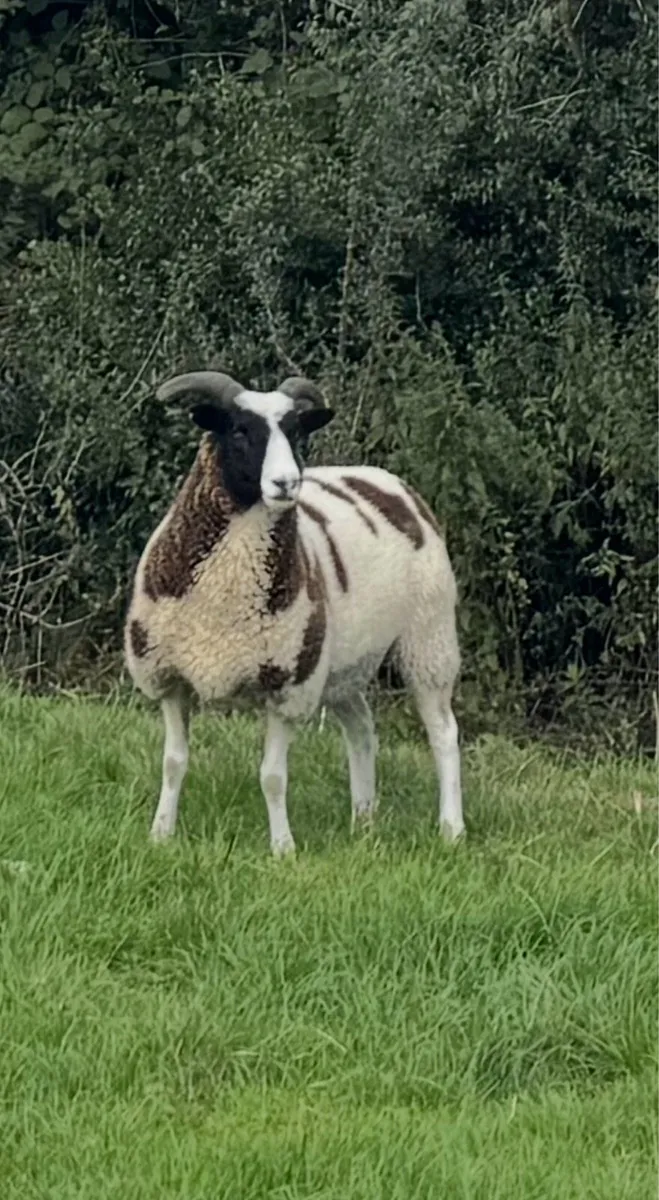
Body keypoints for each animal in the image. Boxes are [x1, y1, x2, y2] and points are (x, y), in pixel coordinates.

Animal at [124, 369, 464, 856]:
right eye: (240, 430)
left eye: (297, 433)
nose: (287, 483)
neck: (223, 600)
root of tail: (387, 480)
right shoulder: (169, 676)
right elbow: (173, 763)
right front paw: (161, 834)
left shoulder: (286, 683)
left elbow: (272, 777)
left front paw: (282, 848)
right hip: (344, 661)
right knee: (362, 729)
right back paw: (364, 820)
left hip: (427, 637)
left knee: (443, 733)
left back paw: (451, 829)